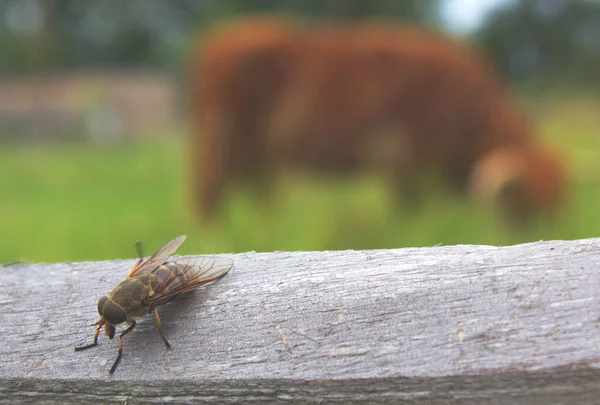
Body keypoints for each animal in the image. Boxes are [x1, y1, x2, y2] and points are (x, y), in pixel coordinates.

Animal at [189, 15, 568, 223]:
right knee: (210, 198)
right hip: (225, 147)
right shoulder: (408, 163)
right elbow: (409, 211)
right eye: (524, 207)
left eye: (554, 209)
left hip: (260, 159)